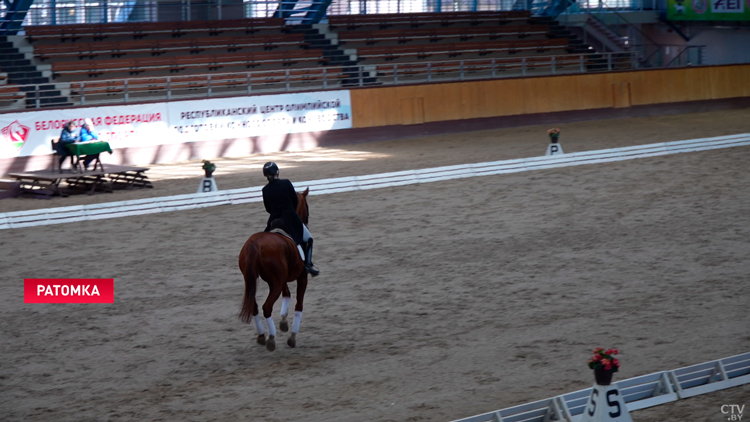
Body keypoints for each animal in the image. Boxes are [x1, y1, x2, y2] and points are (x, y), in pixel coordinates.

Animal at [241, 189, 312, 352]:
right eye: (307, 207)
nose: (306, 221)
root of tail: (254, 244)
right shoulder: (302, 277)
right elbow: (299, 305)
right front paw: (292, 337)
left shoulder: (282, 278)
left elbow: (287, 295)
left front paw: (284, 321)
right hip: (276, 283)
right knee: (267, 307)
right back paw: (271, 338)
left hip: (253, 280)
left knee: (254, 306)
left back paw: (262, 336)